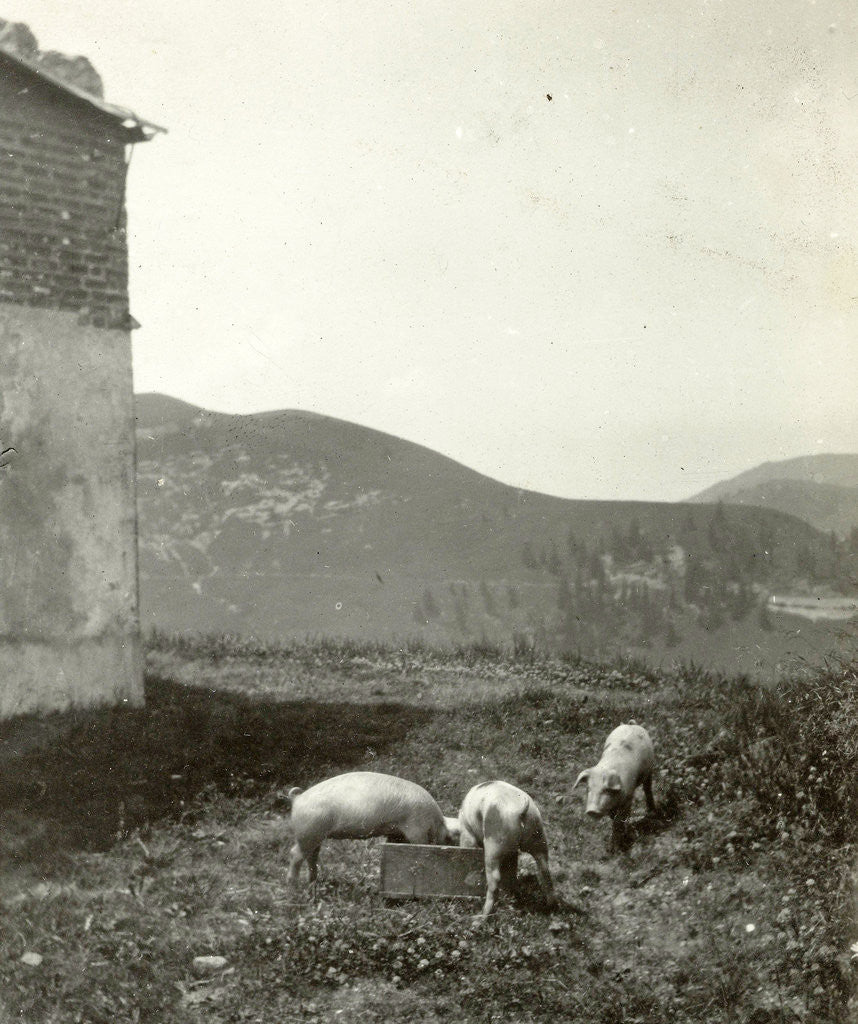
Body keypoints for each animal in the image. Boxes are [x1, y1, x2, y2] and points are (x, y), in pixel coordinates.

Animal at [284, 770, 460, 884]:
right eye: (453, 838)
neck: (437, 822)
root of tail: (298, 798)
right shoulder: (416, 828)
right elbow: (420, 845)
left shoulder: (397, 832)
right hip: (309, 831)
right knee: (295, 854)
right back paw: (294, 888)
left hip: (315, 834)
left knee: (311, 856)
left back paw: (312, 882)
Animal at [456, 778, 556, 925]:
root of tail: (522, 809)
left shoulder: (467, 834)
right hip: (538, 837)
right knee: (544, 870)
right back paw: (548, 907)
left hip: (494, 843)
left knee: (494, 879)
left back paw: (479, 919)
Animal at [577, 716, 659, 851]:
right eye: (589, 789)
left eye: (605, 789)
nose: (591, 810)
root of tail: (631, 724)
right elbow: (614, 818)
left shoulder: (628, 796)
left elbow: (619, 820)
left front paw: (617, 848)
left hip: (649, 769)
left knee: (647, 788)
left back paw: (651, 812)